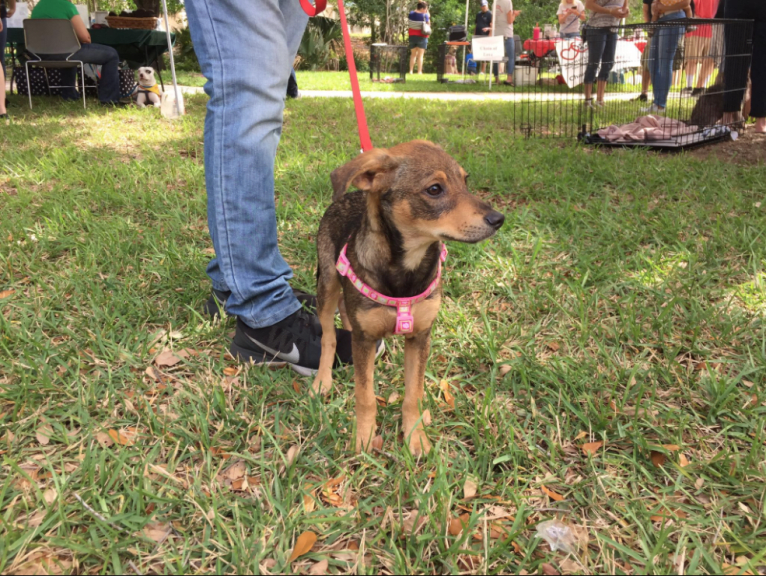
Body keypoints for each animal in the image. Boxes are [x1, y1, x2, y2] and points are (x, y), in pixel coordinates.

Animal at [310, 140, 504, 454]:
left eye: (465, 181)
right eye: (435, 189)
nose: (498, 219)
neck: (406, 267)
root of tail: (348, 194)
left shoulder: (420, 336)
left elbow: (414, 393)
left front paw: (415, 437)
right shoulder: (364, 339)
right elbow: (364, 395)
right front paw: (364, 437)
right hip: (326, 283)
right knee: (328, 334)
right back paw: (322, 380)